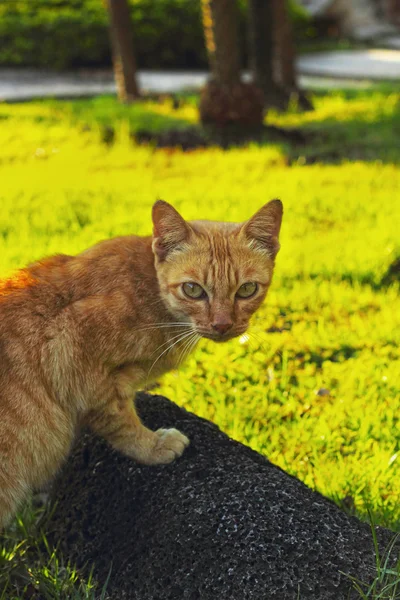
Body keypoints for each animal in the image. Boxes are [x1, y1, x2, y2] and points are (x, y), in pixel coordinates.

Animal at [0, 199, 282, 528]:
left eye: (247, 289)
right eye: (193, 289)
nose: (222, 325)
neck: (153, 297)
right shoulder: (73, 353)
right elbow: (119, 420)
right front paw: (151, 447)